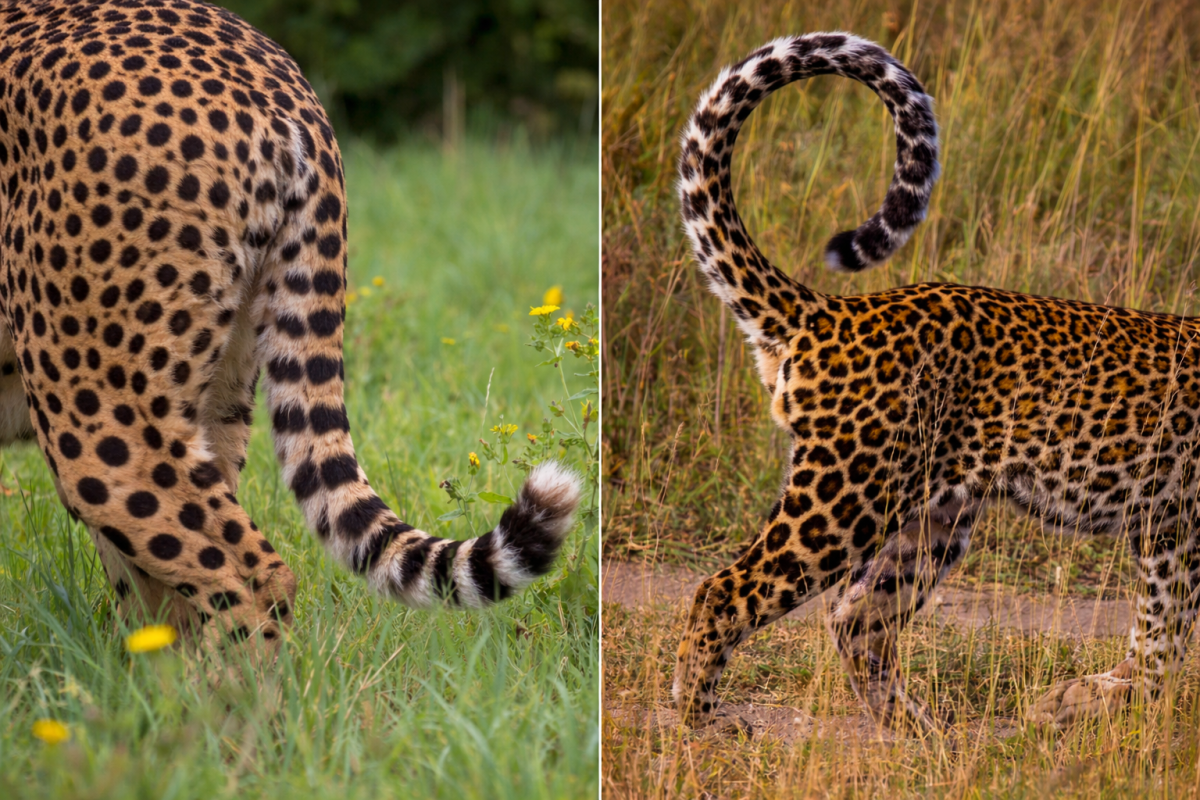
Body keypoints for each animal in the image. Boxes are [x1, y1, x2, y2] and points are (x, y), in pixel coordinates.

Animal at [672, 31, 1200, 733]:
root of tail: (837, 310)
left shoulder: (1171, 529)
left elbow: (1161, 636)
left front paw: (1084, 699)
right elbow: (1166, 634)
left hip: (934, 519)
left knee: (856, 619)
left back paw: (924, 732)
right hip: (846, 498)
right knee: (727, 591)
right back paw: (702, 720)